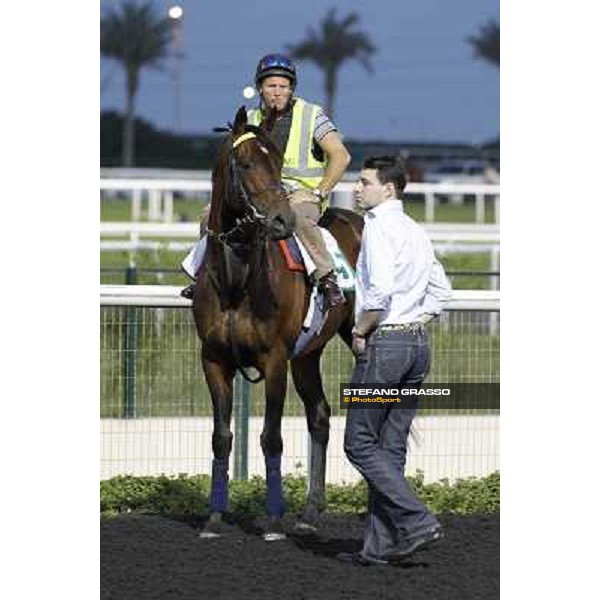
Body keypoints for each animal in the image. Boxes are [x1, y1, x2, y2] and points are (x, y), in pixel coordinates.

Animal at [192, 105, 364, 540]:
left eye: (277, 161)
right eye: (247, 162)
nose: (283, 220)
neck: (236, 281)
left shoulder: (274, 361)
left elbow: (271, 438)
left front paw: (272, 520)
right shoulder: (213, 360)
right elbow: (221, 437)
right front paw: (214, 517)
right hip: (306, 356)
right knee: (319, 416)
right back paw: (311, 512)